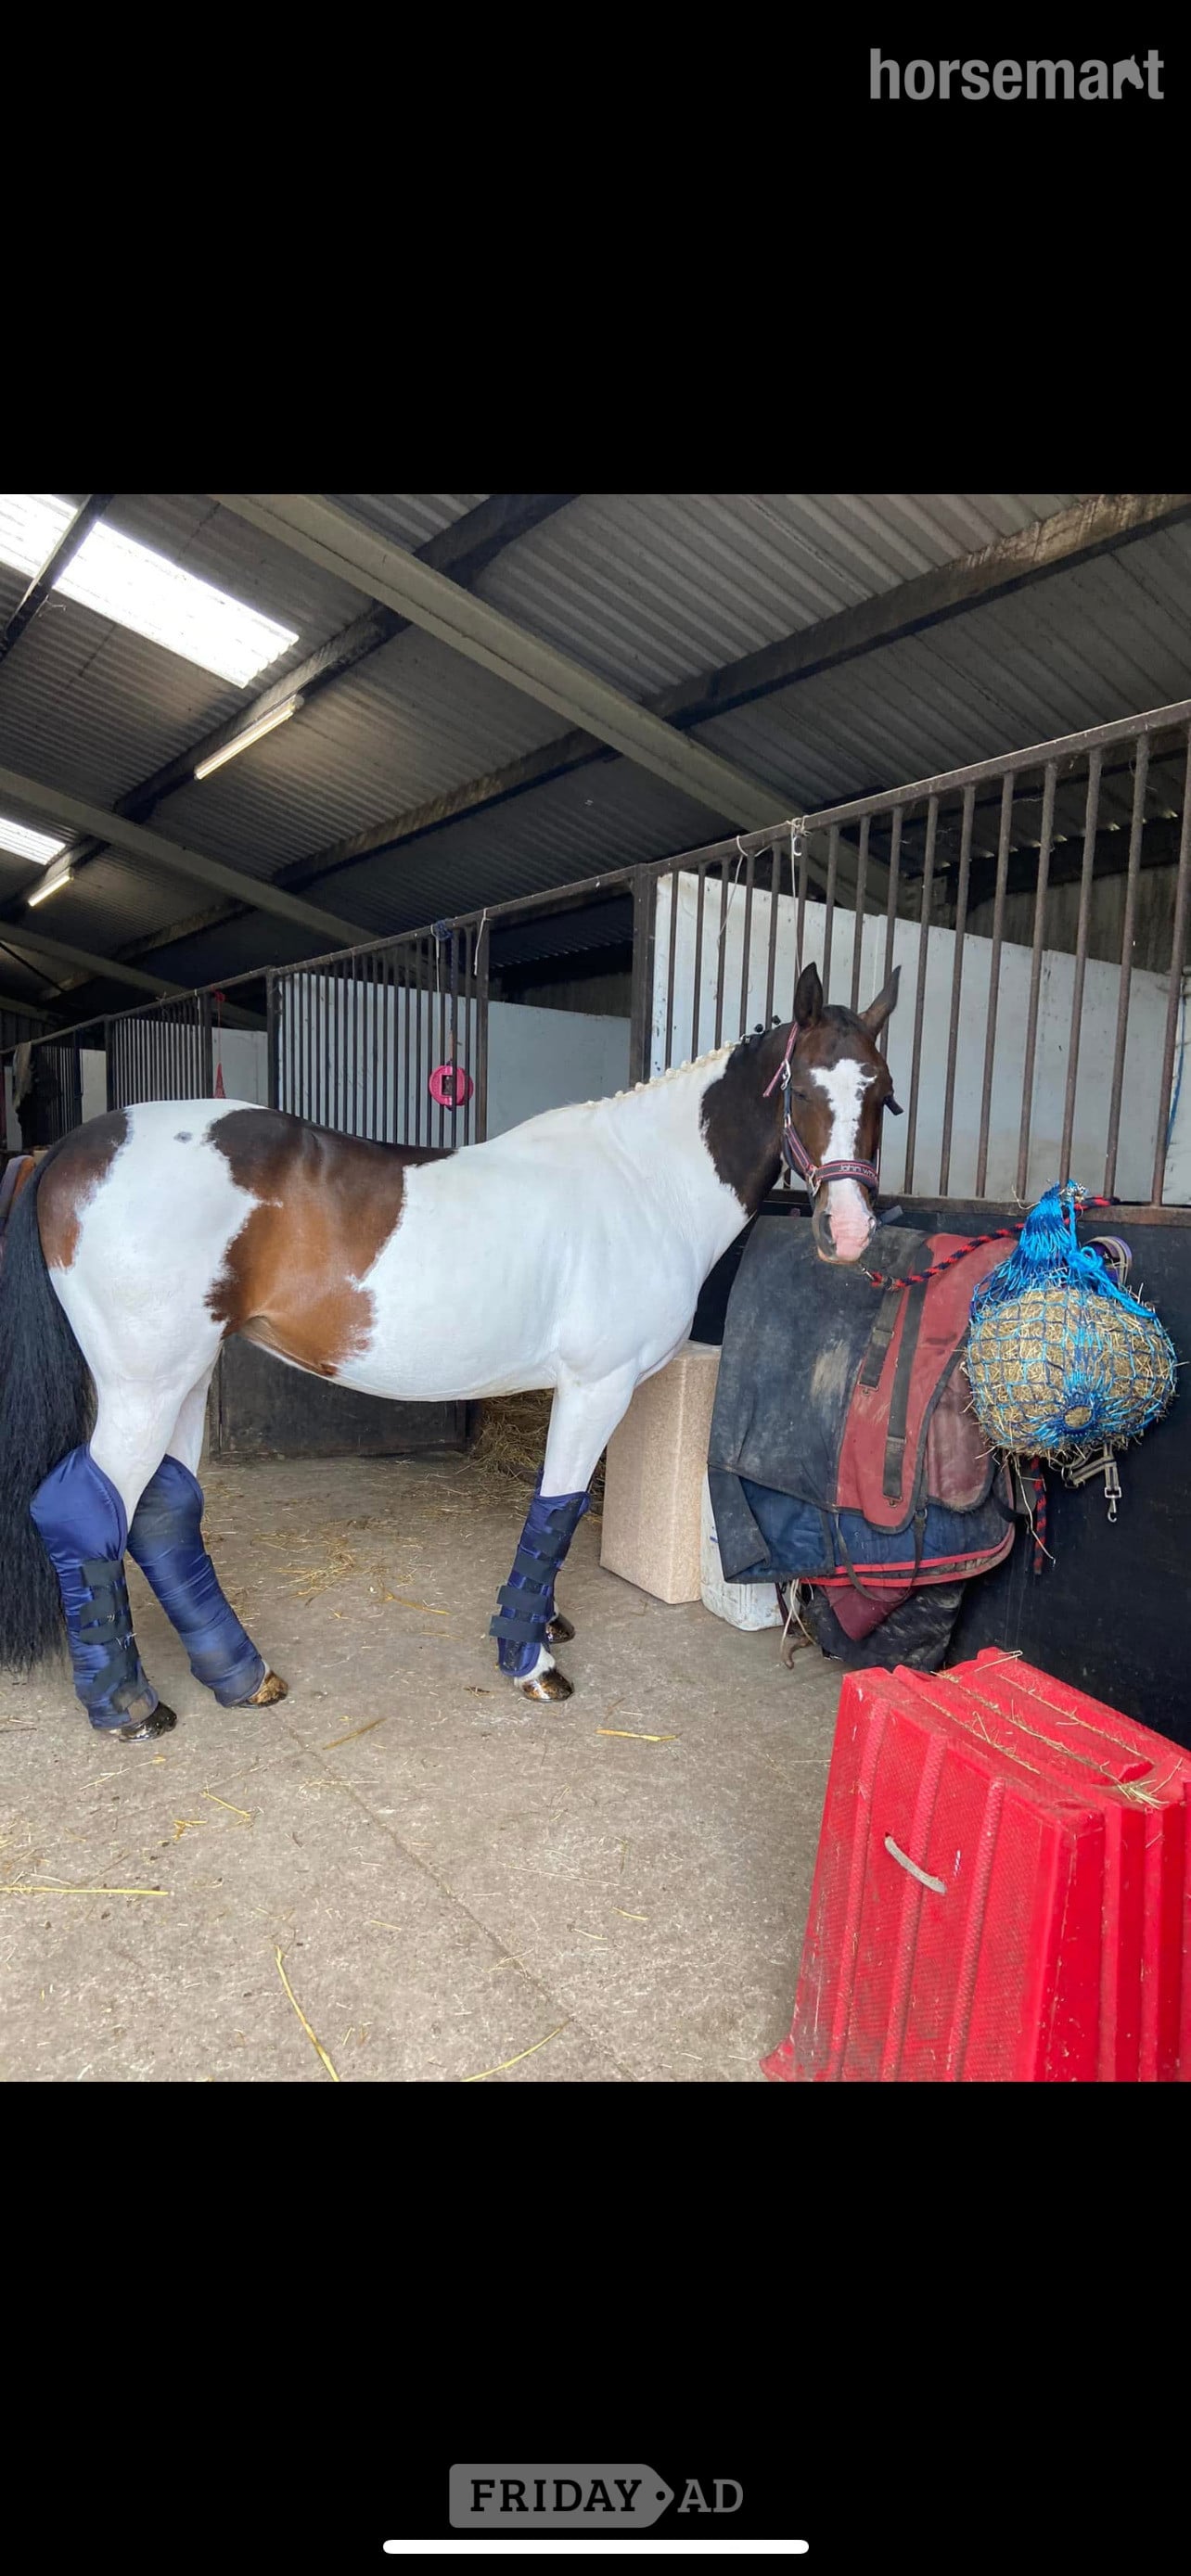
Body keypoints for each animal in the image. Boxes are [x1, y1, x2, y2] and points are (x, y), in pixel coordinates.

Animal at [0, 960, 899, 1743]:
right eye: (804, 1089)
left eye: (884, 1095)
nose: (849, 1233)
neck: (645, 1186)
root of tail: (71, 1147)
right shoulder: (597, 1385)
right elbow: (558, 1508)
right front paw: (530, 1661)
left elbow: (557, 1510)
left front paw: (543, 1626)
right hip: (144, 1386)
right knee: (85, 1510)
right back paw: (129, 1708)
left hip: (185, 1380)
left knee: (163, 1514)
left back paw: (240, 1677)